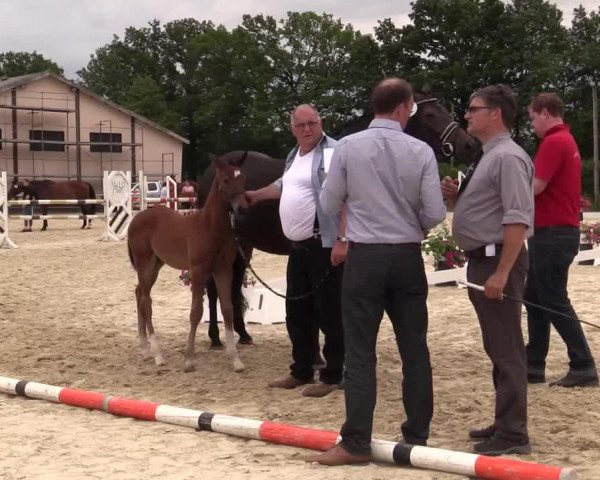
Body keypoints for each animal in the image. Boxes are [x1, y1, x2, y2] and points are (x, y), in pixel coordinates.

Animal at [126, 152, 248, 374]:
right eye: (226, 179)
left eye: (242, 178)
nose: (242, 208)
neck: (210, 227)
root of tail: (136, 219)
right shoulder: (199, 271)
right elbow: (196, 312)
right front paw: (189, 359)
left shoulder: (223, 270)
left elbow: (227, 309)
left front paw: (235, 360)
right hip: (145, 264)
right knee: (146, 300)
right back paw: (157, 355)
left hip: (155, 265)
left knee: (139, 293)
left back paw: (145, 349)